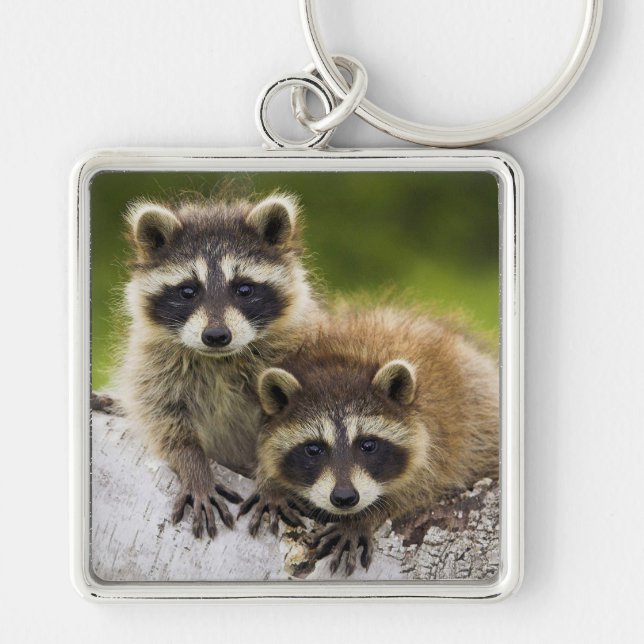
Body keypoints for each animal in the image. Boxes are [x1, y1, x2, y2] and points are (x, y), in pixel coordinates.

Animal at [115, 192, 318, 539]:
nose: (216, 336)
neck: (219, 359)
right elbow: (163, 418)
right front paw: (193, 465)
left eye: (244, 289)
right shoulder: (153, 363)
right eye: (188, 290)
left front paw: (272, 483)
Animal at [243, 306, 499, 574]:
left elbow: (421, 487)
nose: (344, 498)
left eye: (368, 445)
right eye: (313, 449)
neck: (345, 360)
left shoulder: (444, 438)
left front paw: (363, 518)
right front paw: (270, 484)